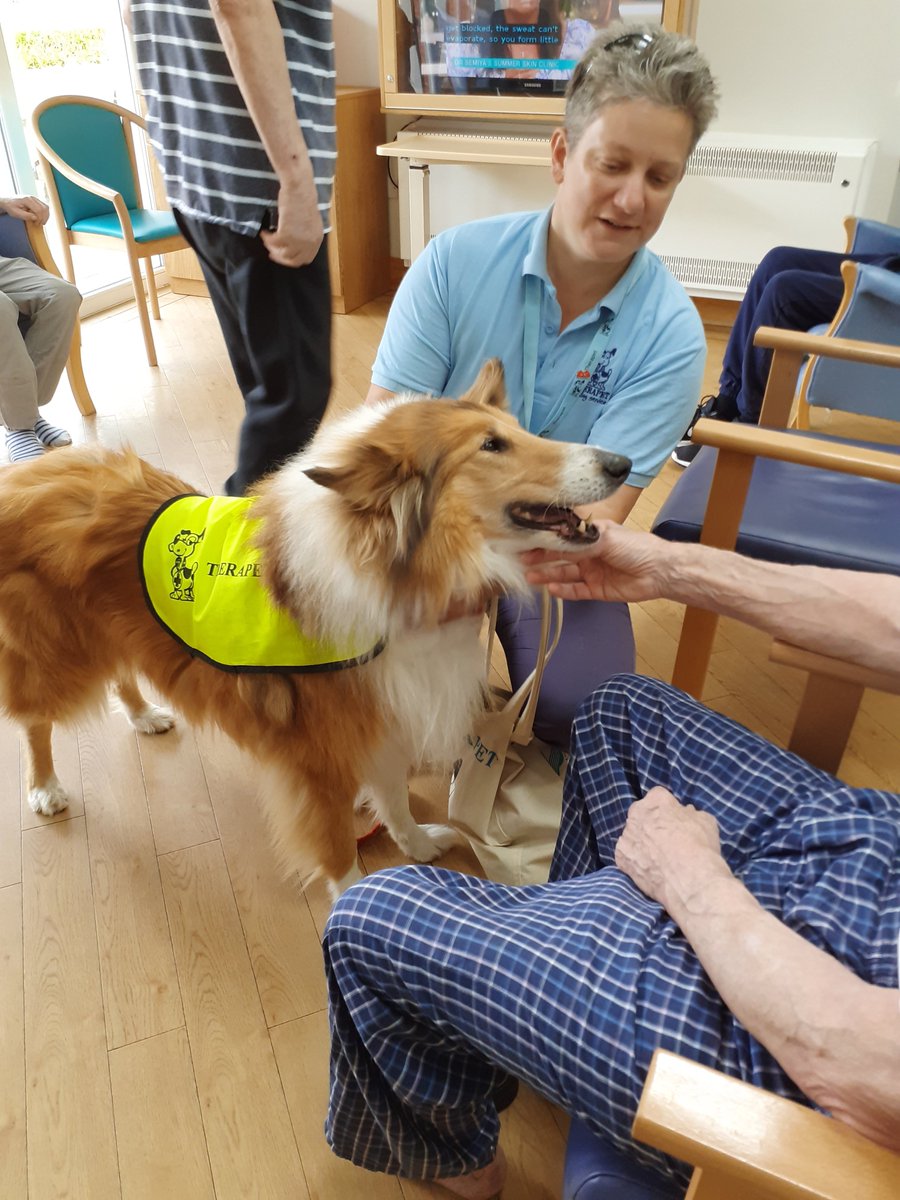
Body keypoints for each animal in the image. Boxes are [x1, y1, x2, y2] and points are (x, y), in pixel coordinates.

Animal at [0, 360, 628, 897]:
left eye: (518, 430)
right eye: (491, 445)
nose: (621, 466)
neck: (392, 575)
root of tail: (22, 479)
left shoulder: (384, 720)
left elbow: (395, 799)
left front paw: (418, 846)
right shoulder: (318, 762)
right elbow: (337, 851)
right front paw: (353, 903)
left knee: (121, 673)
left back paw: (144, 715)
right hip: (56, 654)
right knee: (35, 721)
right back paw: (46, 788)